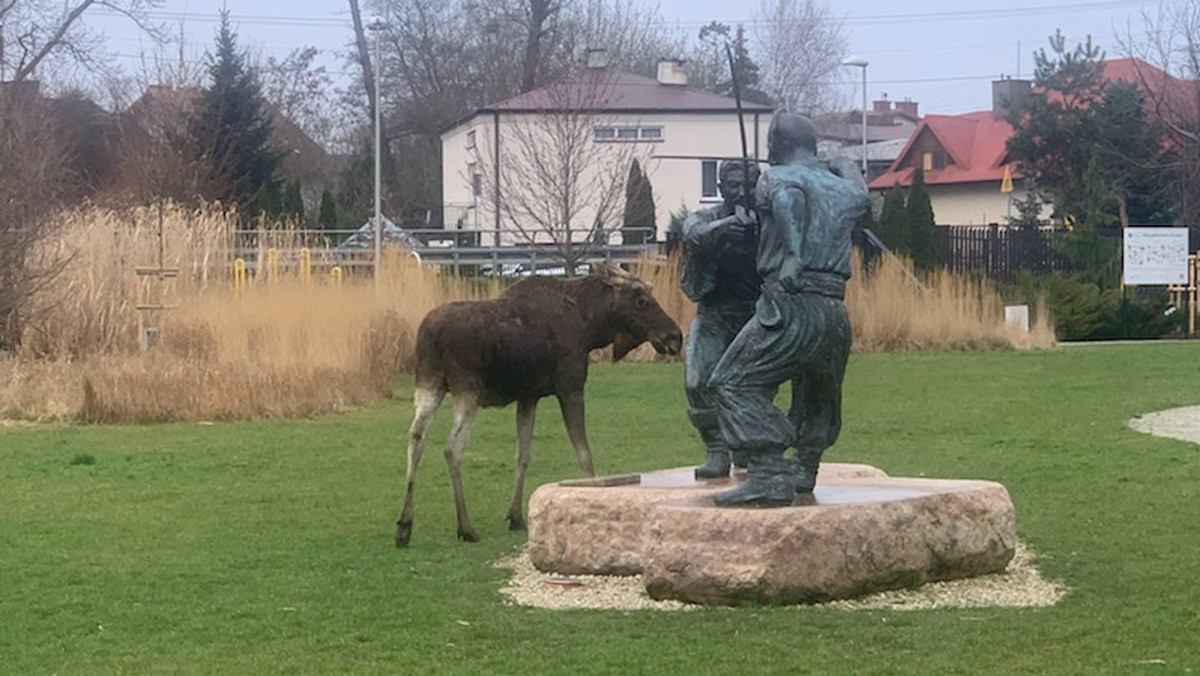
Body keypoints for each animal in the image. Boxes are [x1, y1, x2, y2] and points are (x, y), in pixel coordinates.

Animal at [391, 261, 676, 547]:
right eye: (642, 300)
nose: (675, 335)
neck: (590, 326)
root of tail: (430, 335)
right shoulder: (570, 388)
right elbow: (584, 454)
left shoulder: (529, 396)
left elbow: (523, 454)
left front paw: (516, 515)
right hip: (467, 390)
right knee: (451, 447)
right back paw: (465, 527)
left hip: (430, 384)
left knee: (416, 437)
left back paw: (404, 525)